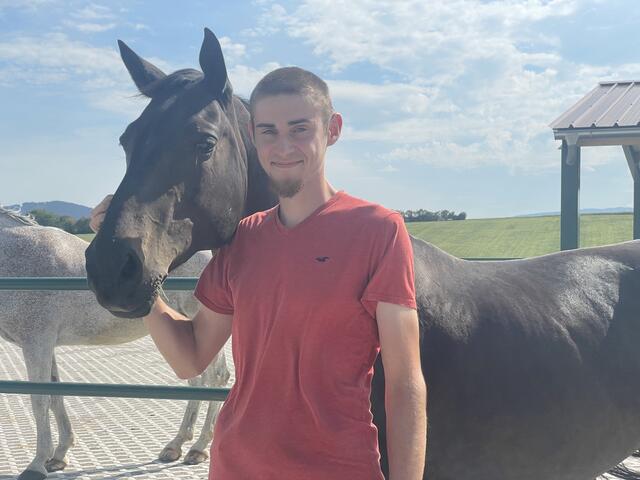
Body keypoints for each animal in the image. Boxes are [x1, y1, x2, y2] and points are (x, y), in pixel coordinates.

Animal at [0, 206, 231, 480]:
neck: (17, 255)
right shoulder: (47, 346)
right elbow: (56, 396)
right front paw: (59, 455)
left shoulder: (36, 344)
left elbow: (40, 400)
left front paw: (36, 464)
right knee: (197, 381)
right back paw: (176, 445)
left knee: (216, 377)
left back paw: (198, 448)